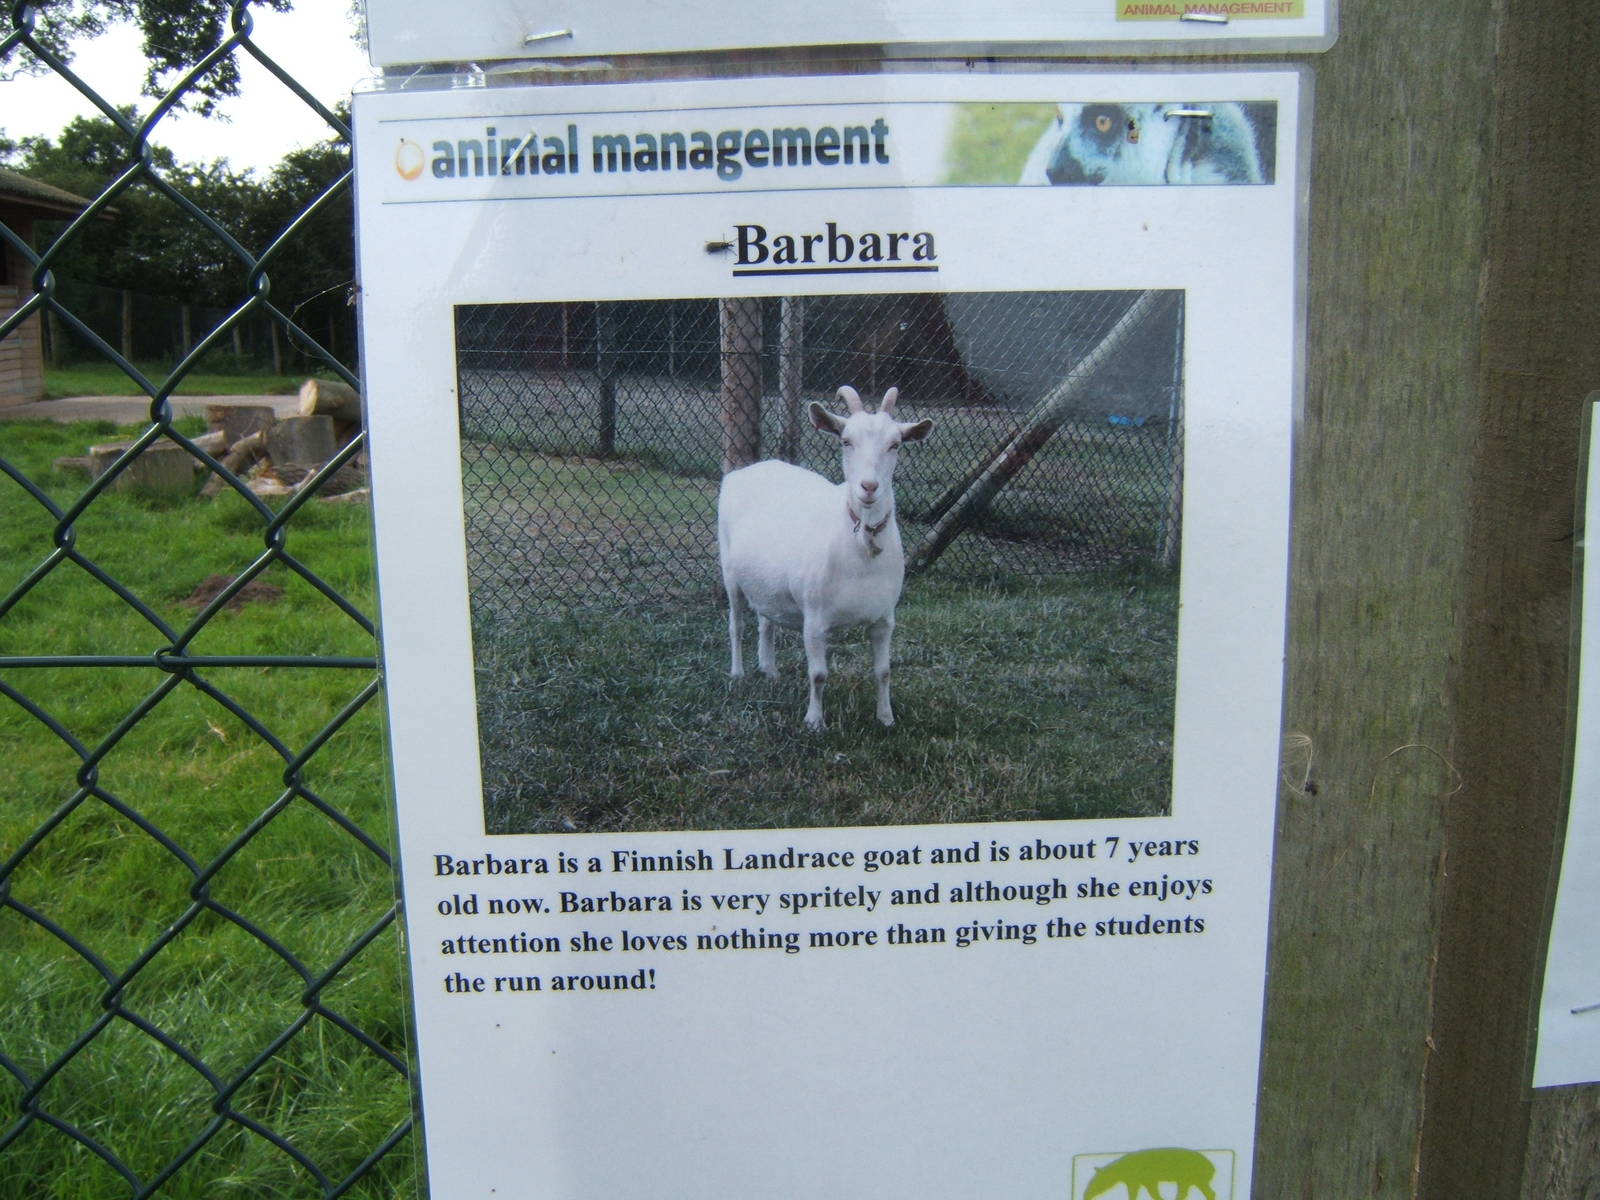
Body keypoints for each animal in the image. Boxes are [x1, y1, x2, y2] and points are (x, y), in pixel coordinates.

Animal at [717, 385, 933, 731]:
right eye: (846, 441)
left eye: (895, 444)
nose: (868, 487)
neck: (861, 550)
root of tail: (743, 471)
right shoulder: (814, 619)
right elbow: (818, 674)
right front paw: (815, 722)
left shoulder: (885, 618)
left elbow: (884, 671)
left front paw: (886, 718)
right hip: (729, 572)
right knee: (736, 623)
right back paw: (737, 674)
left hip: (766, 580)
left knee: (766, 620)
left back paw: (769, 670)